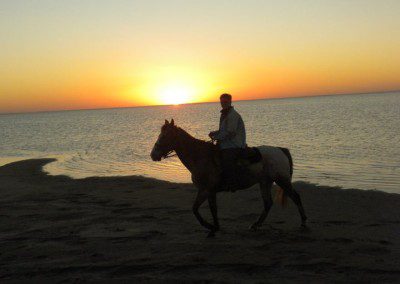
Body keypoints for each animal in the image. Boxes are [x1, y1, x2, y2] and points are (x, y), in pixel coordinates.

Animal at [150, 118, 306, 236]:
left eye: (164, 136)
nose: (153, 154)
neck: (200, 157)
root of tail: (281, 150)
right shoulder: (208, 191)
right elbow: (206, 209)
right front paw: (214, 227)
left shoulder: (206, 190)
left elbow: (200, 209)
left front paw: (210, 227)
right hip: (265, 182)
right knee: (268, 203)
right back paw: (255, 225)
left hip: (282, 180)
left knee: (296, 197)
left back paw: (303, 223)